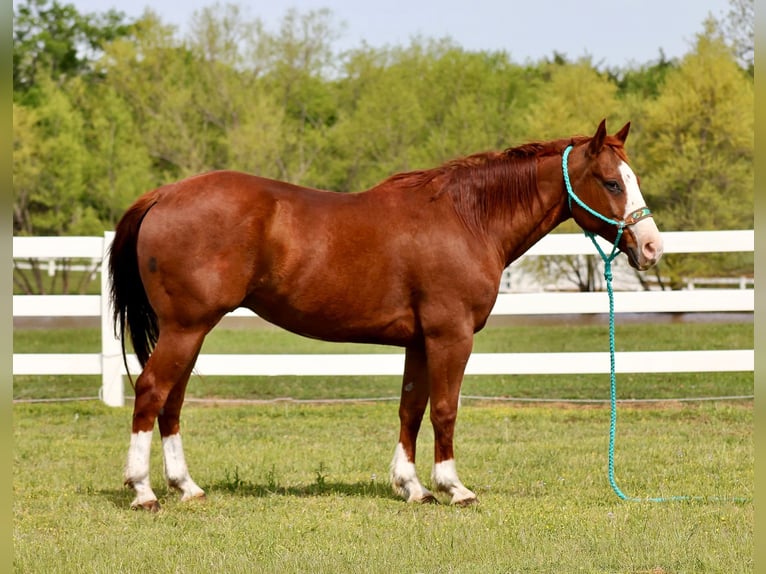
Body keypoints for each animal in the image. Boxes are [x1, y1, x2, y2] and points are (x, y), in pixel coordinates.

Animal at [109, 119, 663, 511]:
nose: (652, 247)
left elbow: (410, 410)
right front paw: (453, 487)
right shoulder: (450, 336)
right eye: (612, 183)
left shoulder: (419, 341)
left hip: (191, 331)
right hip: (186, 328)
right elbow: (444, 410)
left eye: (631, 179)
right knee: (151, 392)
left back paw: (186, 486)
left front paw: (411, 486)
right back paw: (143, 491)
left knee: (173, 401)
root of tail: (164, 194)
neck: (467, 218)